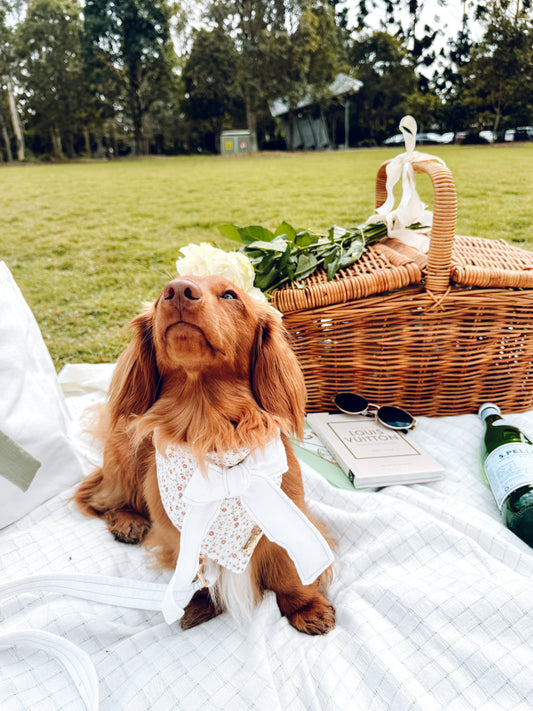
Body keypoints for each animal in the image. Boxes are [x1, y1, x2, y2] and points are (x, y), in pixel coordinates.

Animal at [75, 276, 332, 636]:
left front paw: (306, 606)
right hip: (124, 460)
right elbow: (191, 569)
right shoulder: (176, 533)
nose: (178, 290)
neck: (210, 432)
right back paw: (127, 521)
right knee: (98, 498)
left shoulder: (288, 508)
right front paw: (198, 602)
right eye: (161, 296)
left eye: (230, 295)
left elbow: (287, 567)